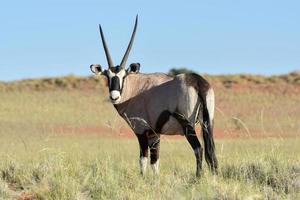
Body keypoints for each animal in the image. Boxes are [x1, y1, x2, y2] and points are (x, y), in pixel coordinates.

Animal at [89, 16, 218, 177]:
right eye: (108, 76)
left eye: (123, 76)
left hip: (188, 125)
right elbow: (155, 161)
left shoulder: (141, 131)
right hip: (208, 123)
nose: (114, 96)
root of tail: (197, 82)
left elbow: (143, 159)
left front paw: (143, 178)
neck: (135, 88)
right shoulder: (155, 134)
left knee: (198, 149)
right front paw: (155, 179)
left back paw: (197, 177)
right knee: (211, 151)